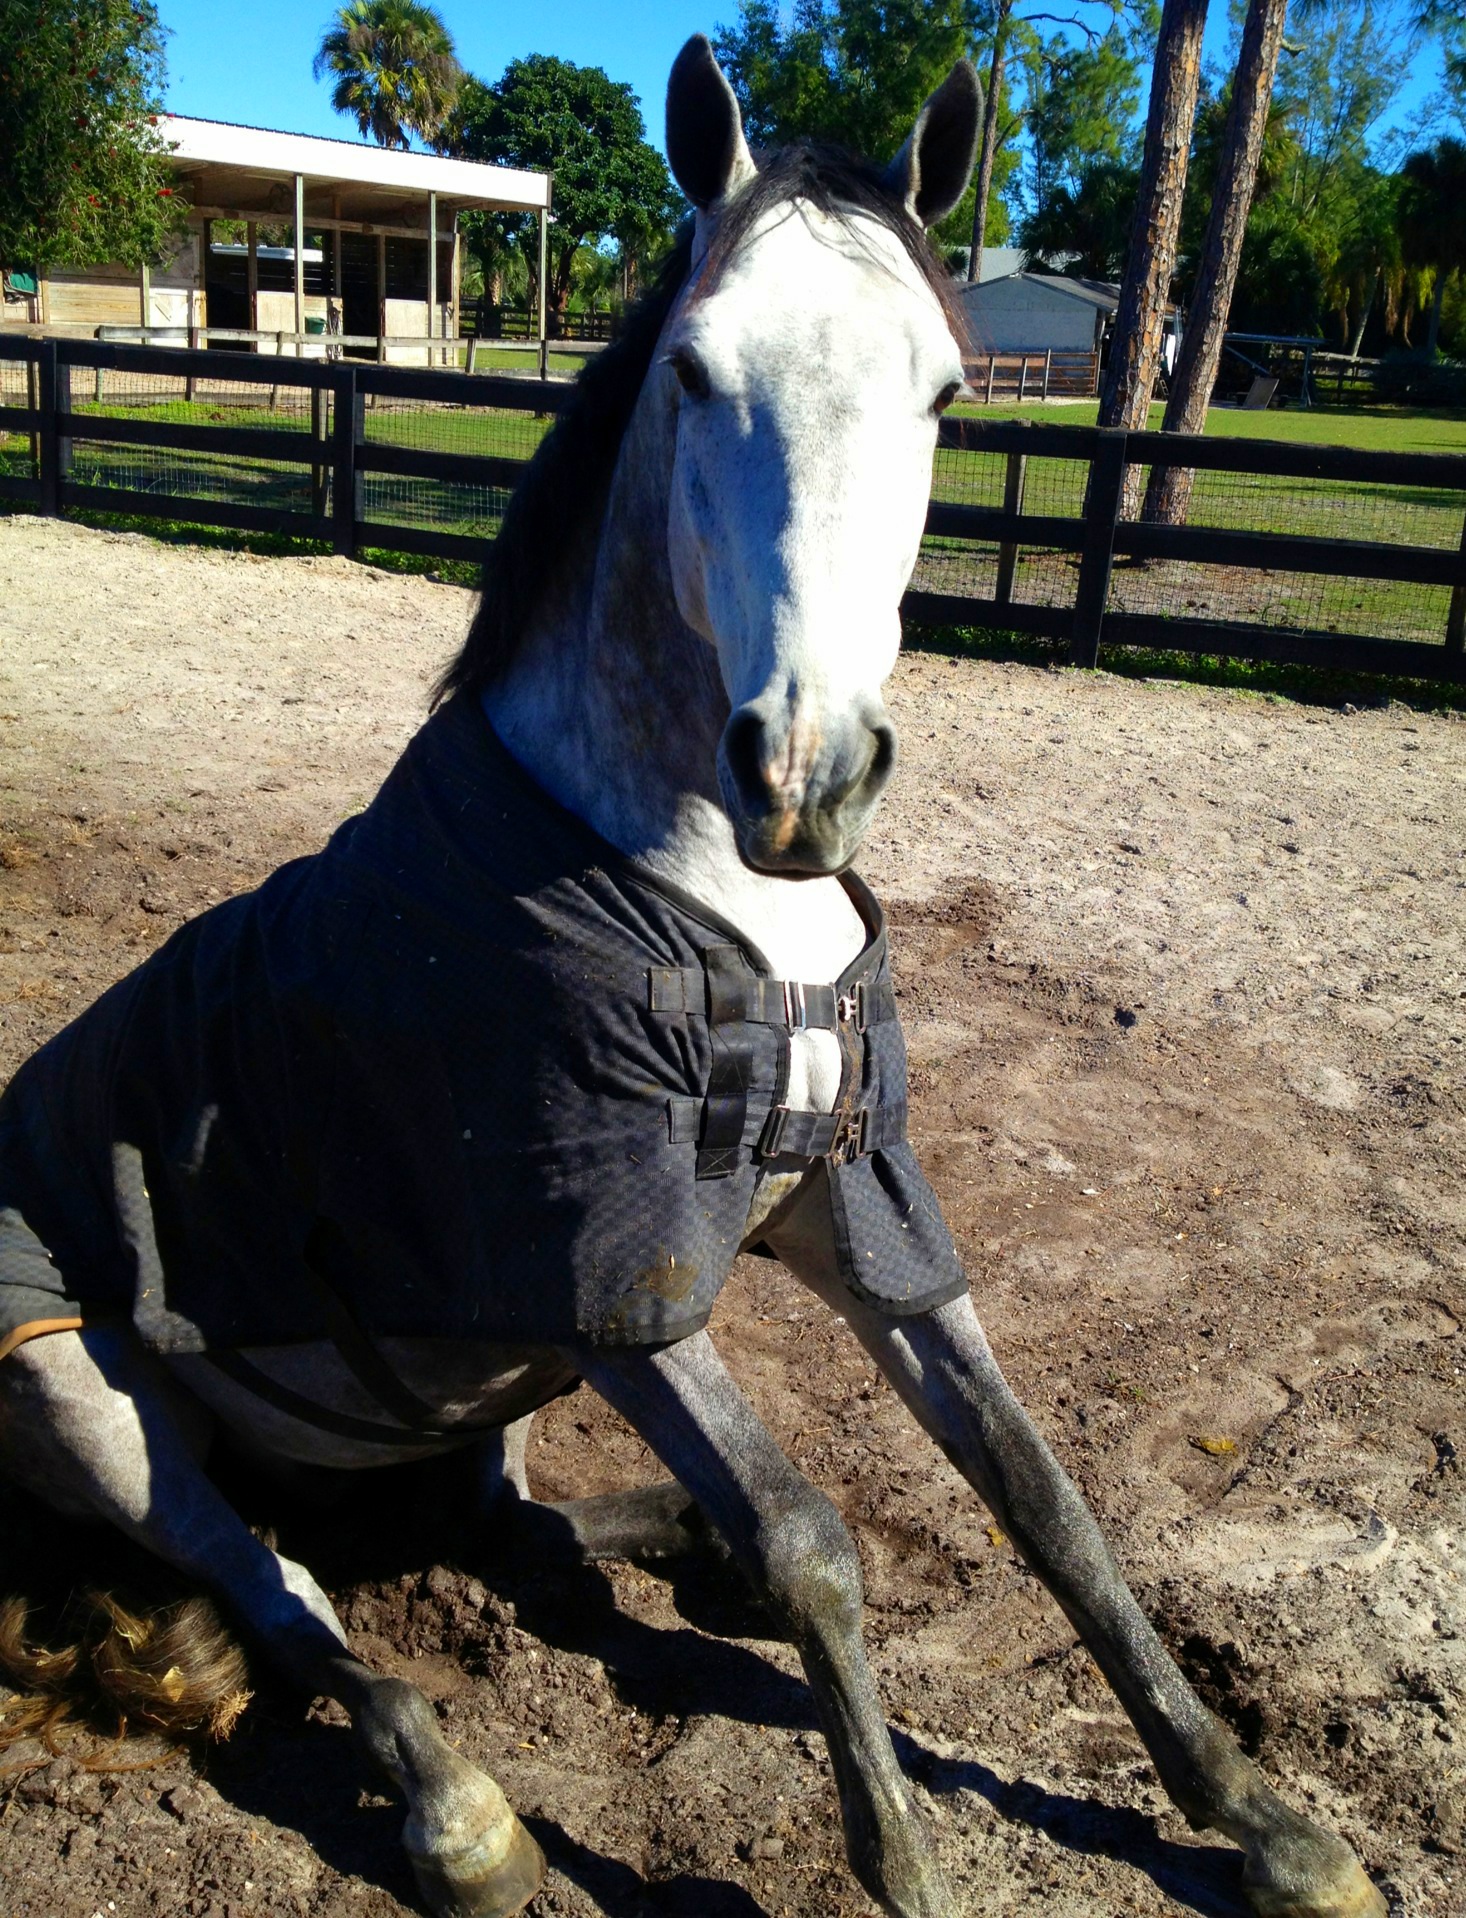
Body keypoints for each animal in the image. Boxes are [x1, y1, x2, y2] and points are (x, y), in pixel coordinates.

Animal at [0, 37, 1386, 1918]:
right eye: (693, 370)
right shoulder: (613, 1269)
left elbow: (1041, 1496)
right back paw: (458, 1809)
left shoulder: (860, 1208)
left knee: (497, 1534)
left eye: (946, 392)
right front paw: (904, 1861)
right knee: (288, 1595)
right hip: (78, 1385)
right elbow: (810, 1538)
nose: (807, 771)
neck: (716, 909)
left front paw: (1265, 1818)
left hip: (477, 1397)